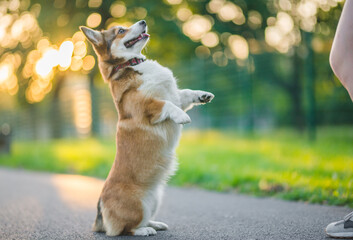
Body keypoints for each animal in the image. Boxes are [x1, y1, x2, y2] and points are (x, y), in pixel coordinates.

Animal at [81, 20, 213, 236]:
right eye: (120, 30)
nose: (143, 21)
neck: (133, 64)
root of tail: (100, 215)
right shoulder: (147, 107)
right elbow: (167, 105)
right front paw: (182, 116)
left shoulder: (176, 96)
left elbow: (185, 94)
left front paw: (202, 95)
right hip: (138, 205)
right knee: (126, 229)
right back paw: (145, 231)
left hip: (155, 200)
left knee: (143, 219)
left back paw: (156, 224)